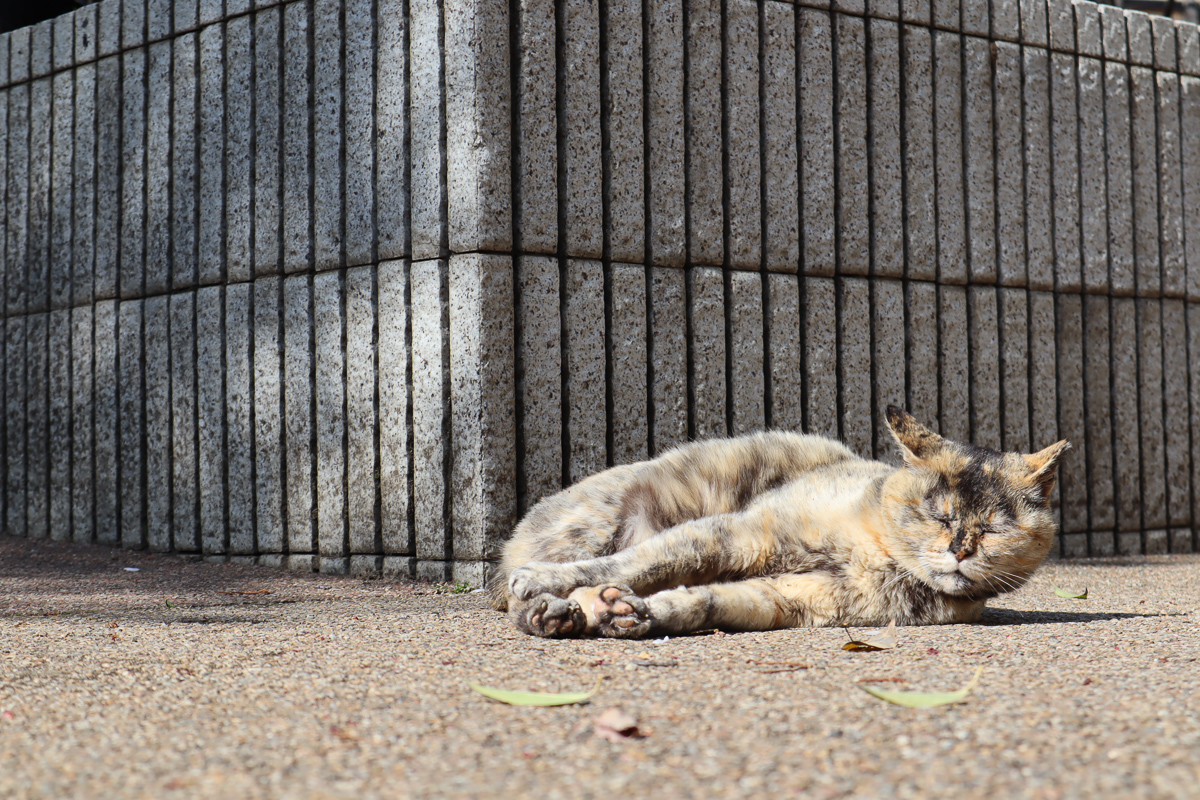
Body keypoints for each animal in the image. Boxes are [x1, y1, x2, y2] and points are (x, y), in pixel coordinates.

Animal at [487, 407, 1070, 638]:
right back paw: (544, 602)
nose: (960, 549)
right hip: (602, 519)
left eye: (992, 529)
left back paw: (577, 614)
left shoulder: (791, 597)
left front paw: (645, 614)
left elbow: (704, 601)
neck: (876, 554)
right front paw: (544, 581)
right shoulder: (738, 534)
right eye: (939, 515)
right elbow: (638, 563)